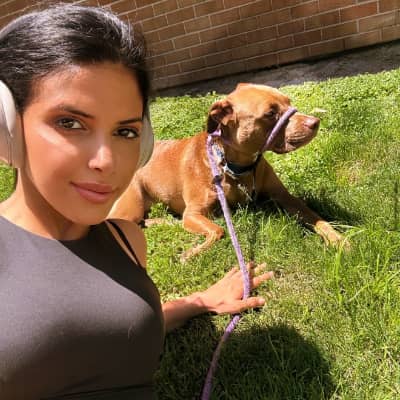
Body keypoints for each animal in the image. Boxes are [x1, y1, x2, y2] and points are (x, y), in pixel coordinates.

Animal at [109, 83, 346, 261]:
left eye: (288, 101)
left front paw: (338, 239)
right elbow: (218, 230)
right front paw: (192, 253)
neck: (235, 167)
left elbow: (317, 218)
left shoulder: (286, 197)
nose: (315, 122)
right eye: (270, 113)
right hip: (128, 208)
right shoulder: (193, 213)